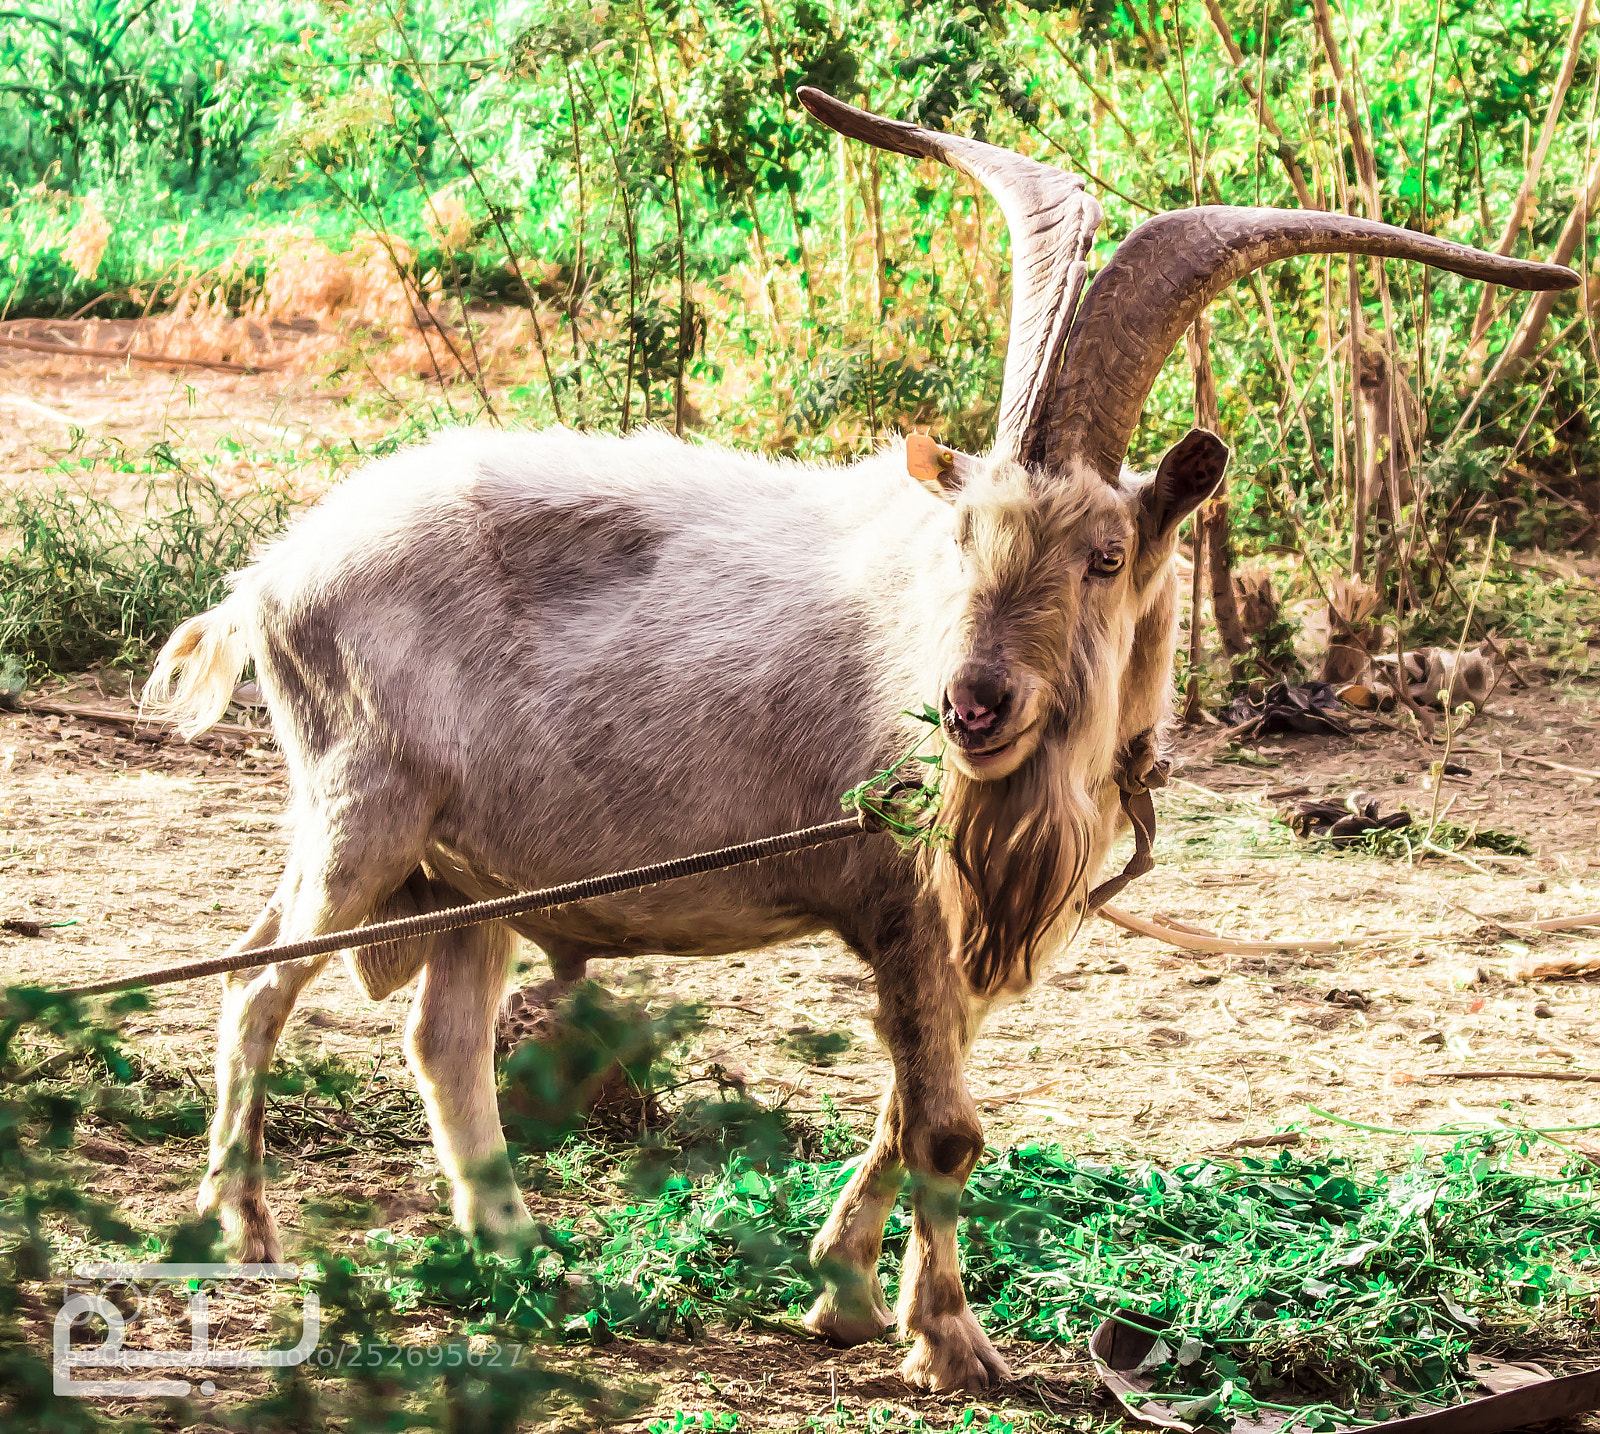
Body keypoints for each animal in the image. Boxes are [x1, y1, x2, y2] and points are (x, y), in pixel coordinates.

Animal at [147, 89, 1576, 1392]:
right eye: (965, 537)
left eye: (1106, 556)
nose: (971, 705)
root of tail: (270, 577)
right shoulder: (906, 898)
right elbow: (943, 1126)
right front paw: (947, 1344)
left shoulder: (962, 931)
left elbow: (907, 1108)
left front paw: (838, 1292)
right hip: (360, 814)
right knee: (255, 986)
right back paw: (244, 1228)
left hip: (471, 871)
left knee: (440, 1038)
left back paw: (515, 1253)